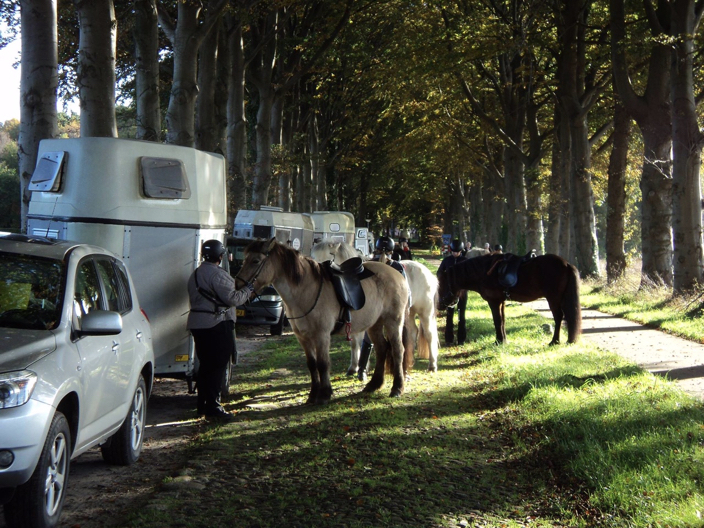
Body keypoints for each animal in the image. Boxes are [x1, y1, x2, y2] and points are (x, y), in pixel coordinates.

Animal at [238, 239, 412, 404]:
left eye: (255, 261)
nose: (237, 286)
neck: (306, 290)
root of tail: (396, 274)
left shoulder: (321, 335)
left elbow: (322, 364)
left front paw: (324, 395)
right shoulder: (303, 338)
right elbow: (312, 364)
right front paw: (313, 395)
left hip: (393, 321)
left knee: (398, 350)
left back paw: (397, 388)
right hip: (375, 324)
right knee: (382, 348)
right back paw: (374, 384)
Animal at [310, 241, 438, 374]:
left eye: (330, 254)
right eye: (313, 255)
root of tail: (429, 274)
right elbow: (355, 343)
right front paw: (354, 367)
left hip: (425, 311)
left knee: (429, 334)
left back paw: (432, 365)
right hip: (410, 312)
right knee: (413, 332)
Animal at [434, 253, 584, 344]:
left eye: (440, 285)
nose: (440, 305)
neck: (484, 272)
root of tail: (566, 264)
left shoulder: (494, 302)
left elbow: (497, 321)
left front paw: (498, 341)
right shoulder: (501, 302)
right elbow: (502, 321)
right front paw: (503, 340)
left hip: (553, 298)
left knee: (558, 317)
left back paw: (554, 341)